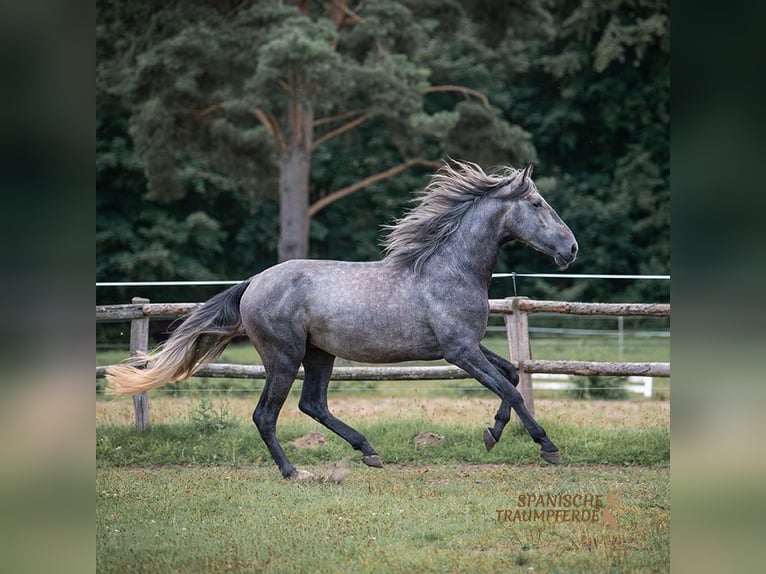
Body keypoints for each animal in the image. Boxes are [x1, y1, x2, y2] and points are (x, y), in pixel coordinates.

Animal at [106, 162, 576, 482]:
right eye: (537, 204)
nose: (571, 248)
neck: (449, 269)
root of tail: (254, 282)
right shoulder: (458, 351)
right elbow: (510, 390)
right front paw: (547, 446)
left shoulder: (468, 346)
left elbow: (511, 374)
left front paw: (491, 434)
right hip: (283, 357)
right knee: (266, 415)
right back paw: (294, 472)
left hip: (319, 354)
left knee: (313, 404)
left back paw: (368, 451)